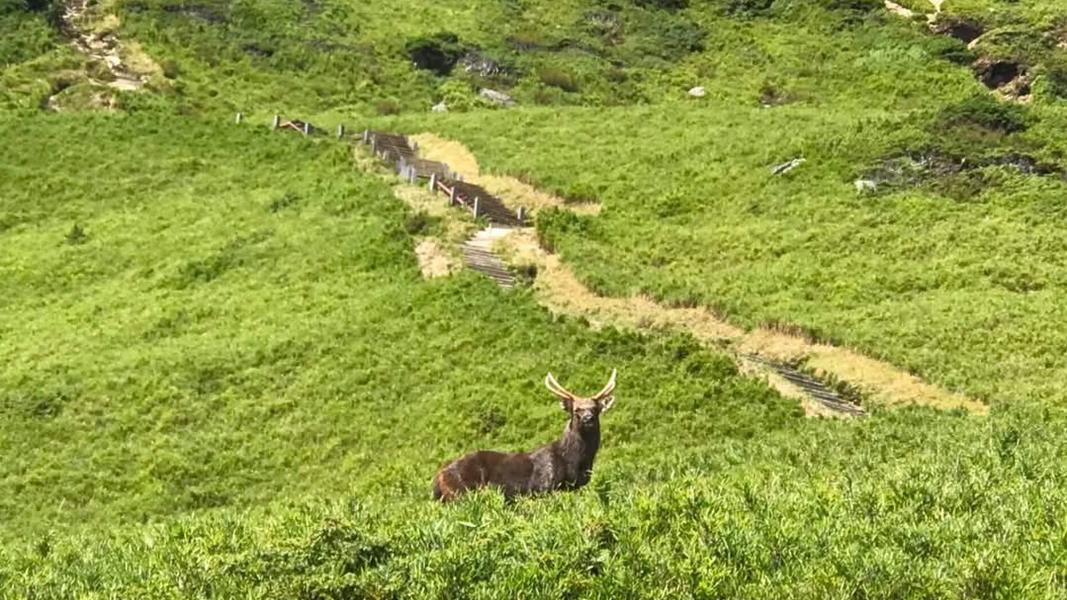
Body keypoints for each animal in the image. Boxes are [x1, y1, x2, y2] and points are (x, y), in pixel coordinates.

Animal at [432, 369, 617, 502]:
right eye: (576, 410)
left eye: (595, 409)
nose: (588, 419)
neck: (574, 462)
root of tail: (437, 478)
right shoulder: (544, 487)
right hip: (461, 492)